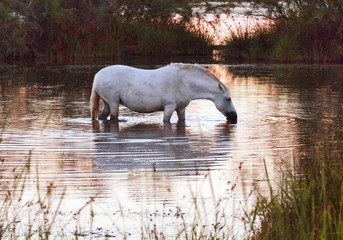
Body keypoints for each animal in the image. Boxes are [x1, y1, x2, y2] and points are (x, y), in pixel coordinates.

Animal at [90, 63, 238, 123]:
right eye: (228, 99)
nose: (235, 117)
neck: (184, 82)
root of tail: (97, 75)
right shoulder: (169, 107)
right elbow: (166, 121)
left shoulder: (181, 108)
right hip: (113, 102)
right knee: (113, 118)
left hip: (107, 103)